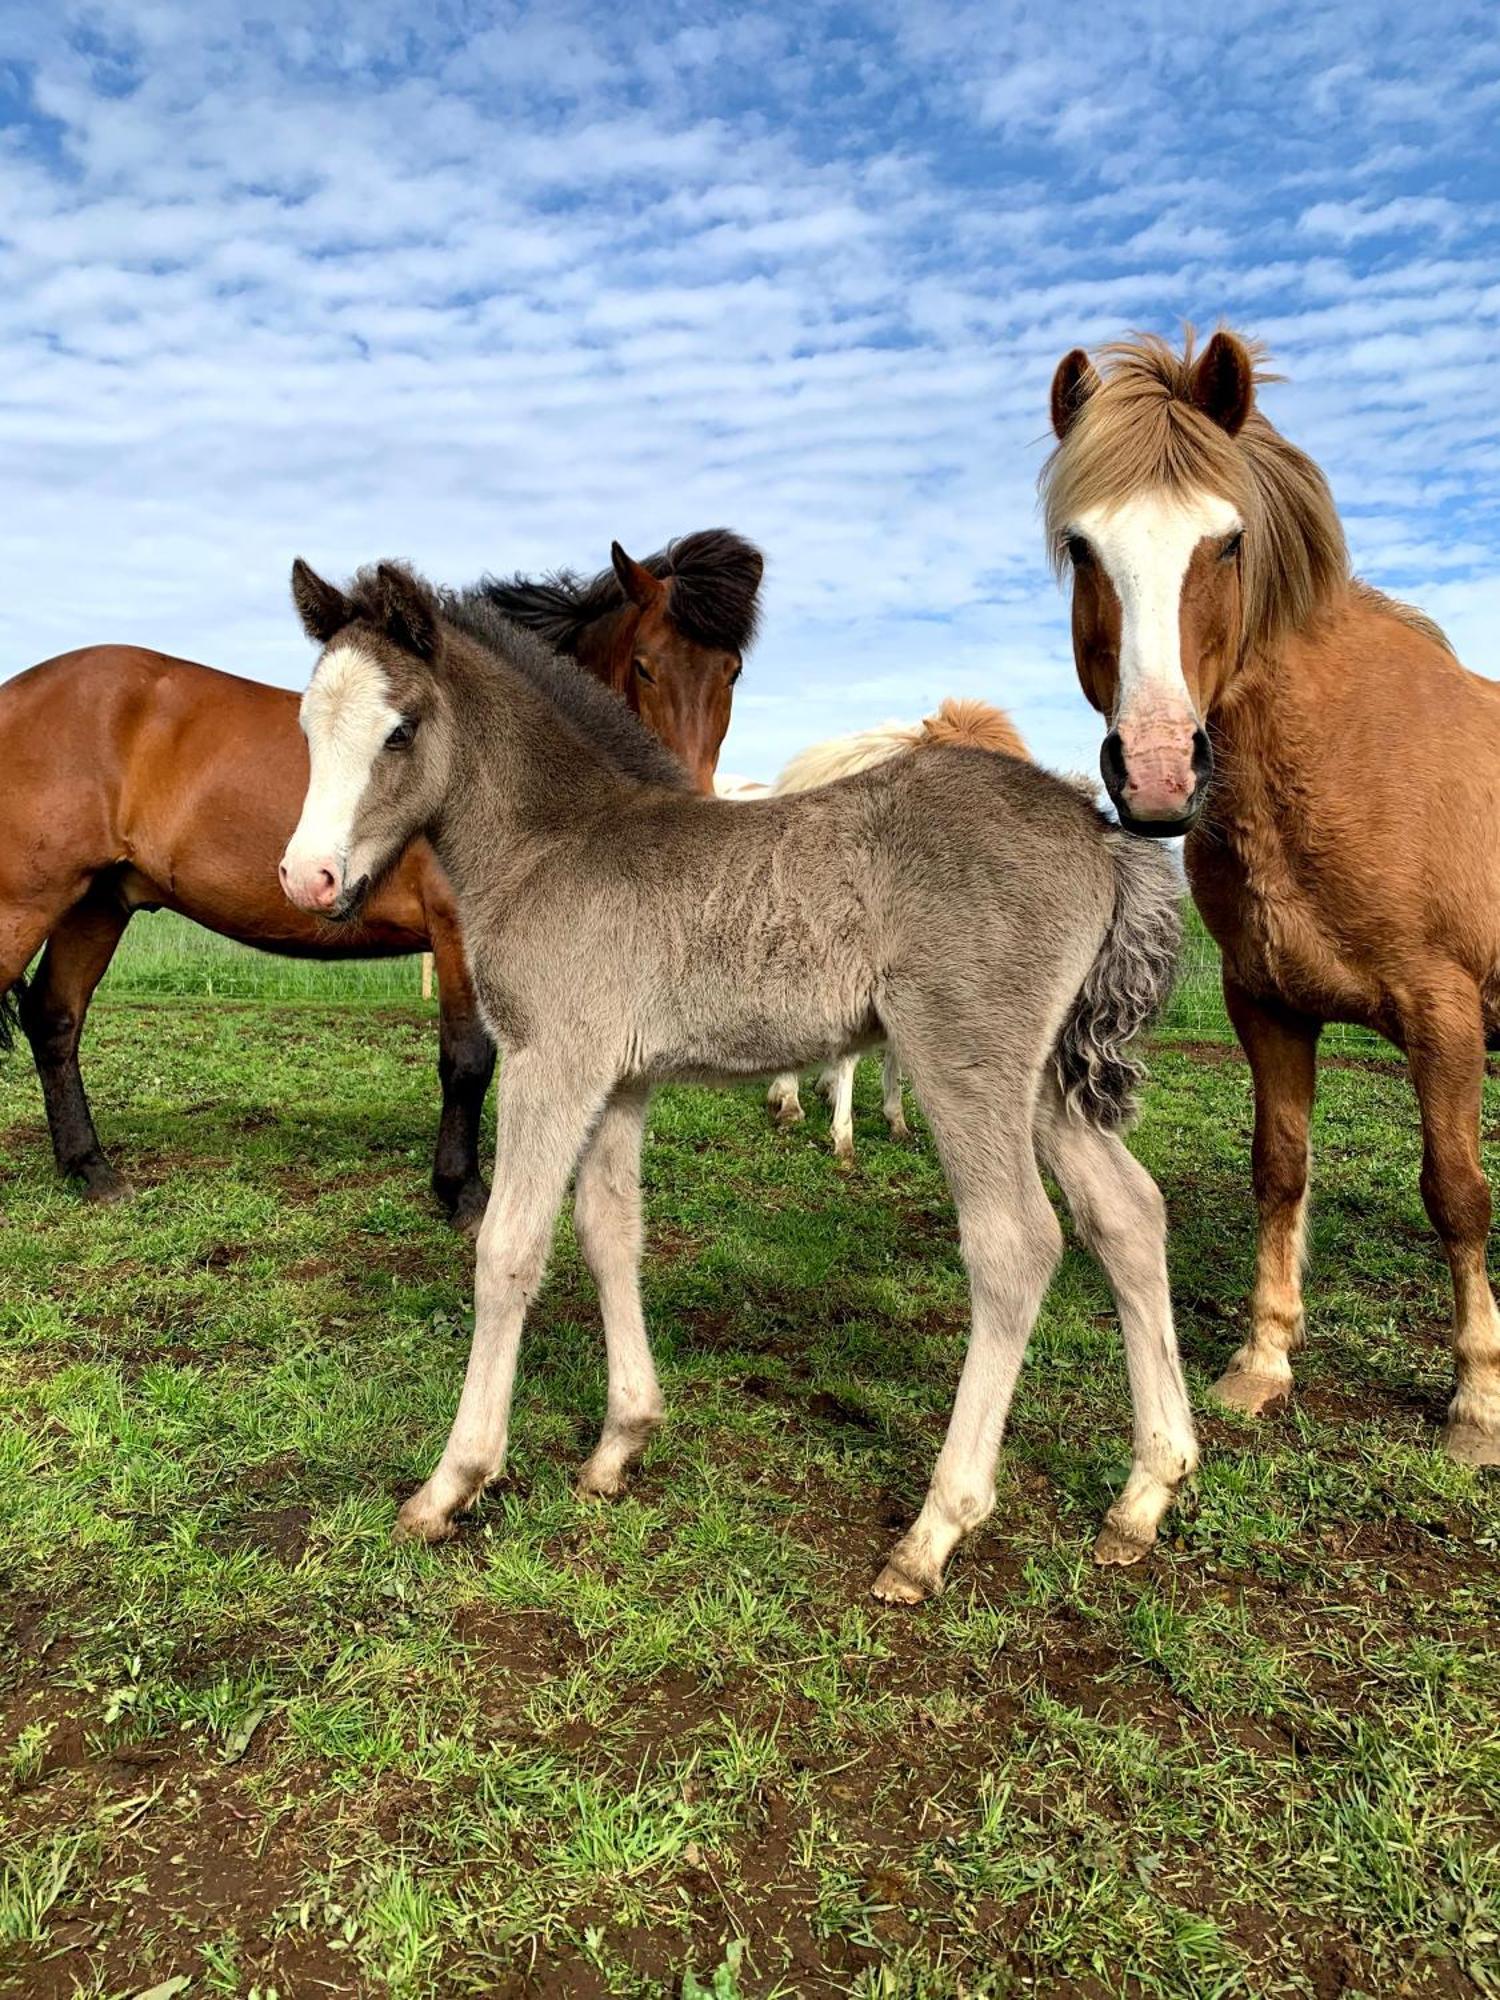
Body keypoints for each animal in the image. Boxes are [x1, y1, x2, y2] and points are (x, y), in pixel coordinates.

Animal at [0, 532, 768, 1224]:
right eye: (644, 665)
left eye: (731, 670)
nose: (691, 797)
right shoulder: (458, 935)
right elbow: (467, 1060)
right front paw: (463, 1193)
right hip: (26, 904)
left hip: (100, 903)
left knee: (55, 1020)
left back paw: (92, 1168)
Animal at [1048, 328, 1500, 1472]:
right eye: (1082, 547)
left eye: (1229, 543)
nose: (1159, 770)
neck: (1336, 758)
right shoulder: (1268, 1004)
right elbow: (1280, 1169)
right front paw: (1263, 1359)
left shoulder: (1443, 1015)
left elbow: (1456, 1193)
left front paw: (1478, 1403)